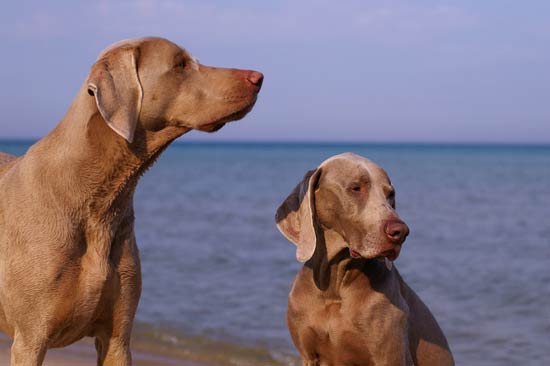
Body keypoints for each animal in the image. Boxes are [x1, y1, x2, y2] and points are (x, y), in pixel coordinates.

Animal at [278, 153, 454, 366]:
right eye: (356, 188)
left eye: (390, 195)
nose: (401, 232)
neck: (335, 285)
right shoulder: (309, 356)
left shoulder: (390, 356)